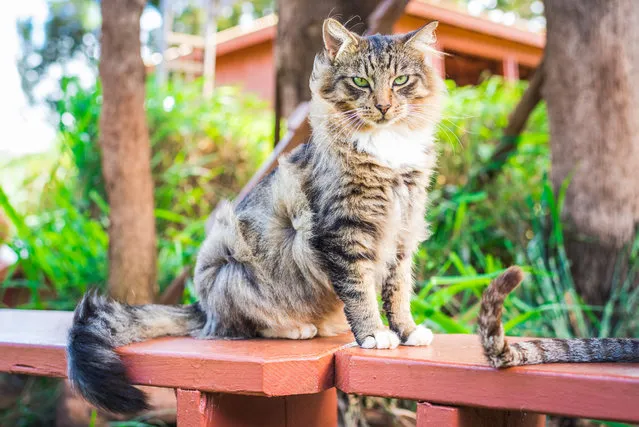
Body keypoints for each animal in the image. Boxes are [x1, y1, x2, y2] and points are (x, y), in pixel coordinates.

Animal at [65, 18, 444, 416]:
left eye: (400, 80)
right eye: (360, 82)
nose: (384, 106)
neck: (388, 153)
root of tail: (202, 306)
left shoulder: (402, 236)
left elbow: (398, 295)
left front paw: (407, 332)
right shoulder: (344, 234)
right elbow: (361, 294)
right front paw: (373, 335)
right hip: (235, 271)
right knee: (238, 329)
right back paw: (296, 328)